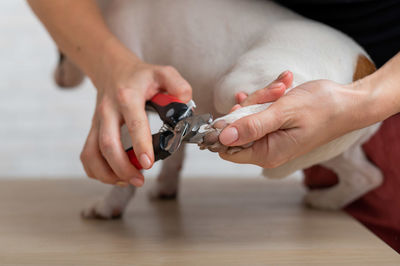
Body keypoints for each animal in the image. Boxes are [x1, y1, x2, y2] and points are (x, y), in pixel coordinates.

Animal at [53, 0, 382, 219]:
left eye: (60, 53)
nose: (56, 78)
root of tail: (363, 68)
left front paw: (109, 206)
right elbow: (174, 157)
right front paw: (167, 186)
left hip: (234, 82)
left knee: (280, 96)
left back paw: (232, 124)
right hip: (330, 144)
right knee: (367, 177)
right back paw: (328, 200)